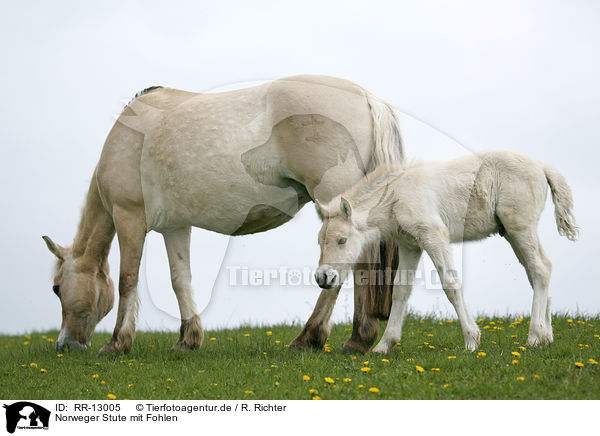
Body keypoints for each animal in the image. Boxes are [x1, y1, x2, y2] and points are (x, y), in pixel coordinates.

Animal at [42, 75, 404, 354]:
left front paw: (117, 343)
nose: (65, 345)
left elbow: (126, 279)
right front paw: (187, 339)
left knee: (351, 264)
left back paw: (322, 337)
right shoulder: (176, 227)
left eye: (57, 288)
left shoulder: (128, 217)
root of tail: (369, 98)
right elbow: (180, 278)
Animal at [316, 152, 580, 352]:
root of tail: (542, 167)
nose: (323, 278)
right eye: (319, 242)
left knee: (540, 268)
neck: (396, 197)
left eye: (342, 240)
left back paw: (534, 336)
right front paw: (384, 346)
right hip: (514, 233)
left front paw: (471, 340)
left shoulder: (434, 236)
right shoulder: (410, 245)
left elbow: (450, 285)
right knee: (537, 270)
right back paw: (546, 337)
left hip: (520, 227)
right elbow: (400, 291)